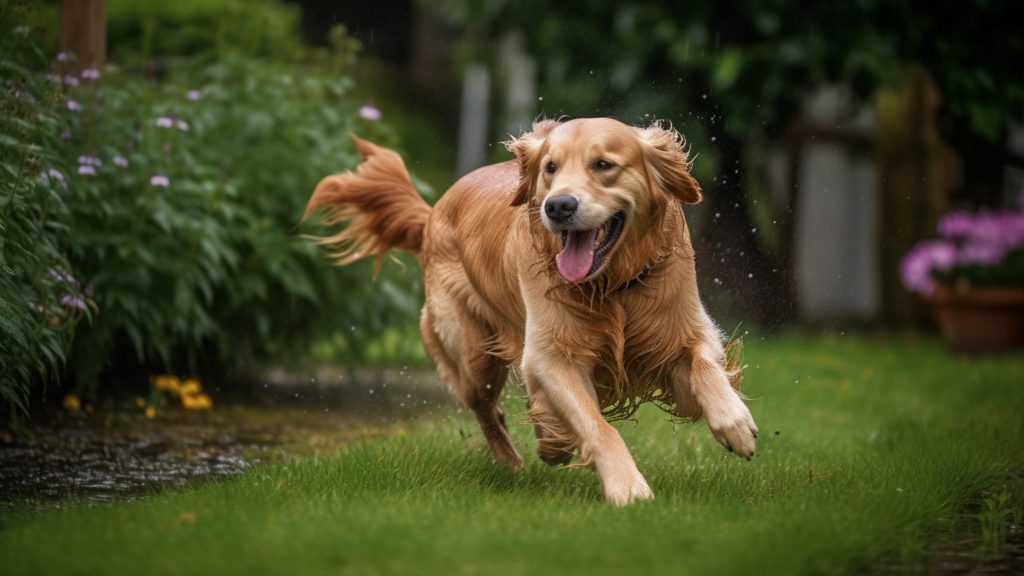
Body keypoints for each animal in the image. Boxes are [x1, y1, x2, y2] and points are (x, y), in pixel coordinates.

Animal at [299, 116, 757, 502]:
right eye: (551, 167)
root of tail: (432, 214)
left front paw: (735, 424)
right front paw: (627, 487)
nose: (558, 205)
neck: (611, 286)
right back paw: (513, 460)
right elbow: (596, 426)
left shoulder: (679, 332)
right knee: (486, 408)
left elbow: (704, 366)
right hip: (474, 354)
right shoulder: (551, 356)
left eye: (603, 164)